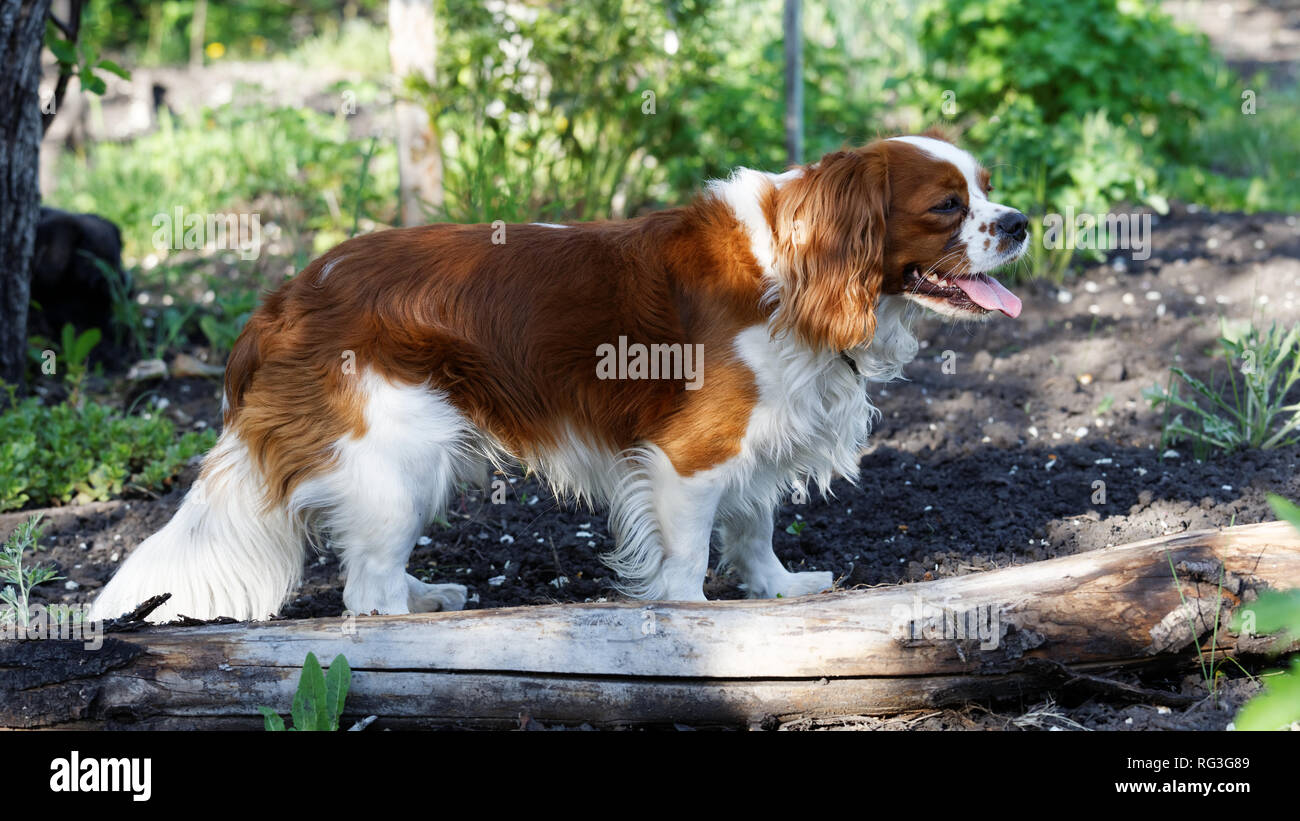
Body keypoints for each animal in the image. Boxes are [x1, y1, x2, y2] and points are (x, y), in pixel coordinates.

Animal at [89, 133, 1024, 620]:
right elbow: (690, 554)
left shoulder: (755, 439)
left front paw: (776, 588)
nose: (1020, 221)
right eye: (948, 206)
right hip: (403, 451)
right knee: (366, 589)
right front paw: (695, 624)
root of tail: (279, 299)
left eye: (989, 187)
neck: (796, 267)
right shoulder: (690, 455)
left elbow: (754, 526)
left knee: (376, 566)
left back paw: (430, 597)